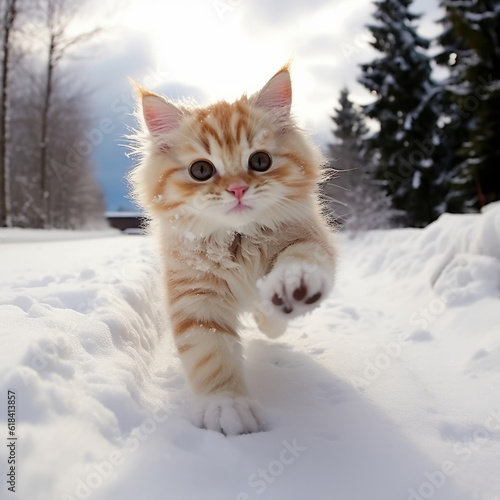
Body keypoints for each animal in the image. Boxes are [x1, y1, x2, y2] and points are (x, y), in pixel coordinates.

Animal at [130, 65, 336, 434]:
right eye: (201, 170)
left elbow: (301, 261)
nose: (238, 189)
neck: (238, 240)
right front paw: (226, 405)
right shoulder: (196, 295)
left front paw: (290, 292)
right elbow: (210, 354)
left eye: (260, 161)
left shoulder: (309, 237)